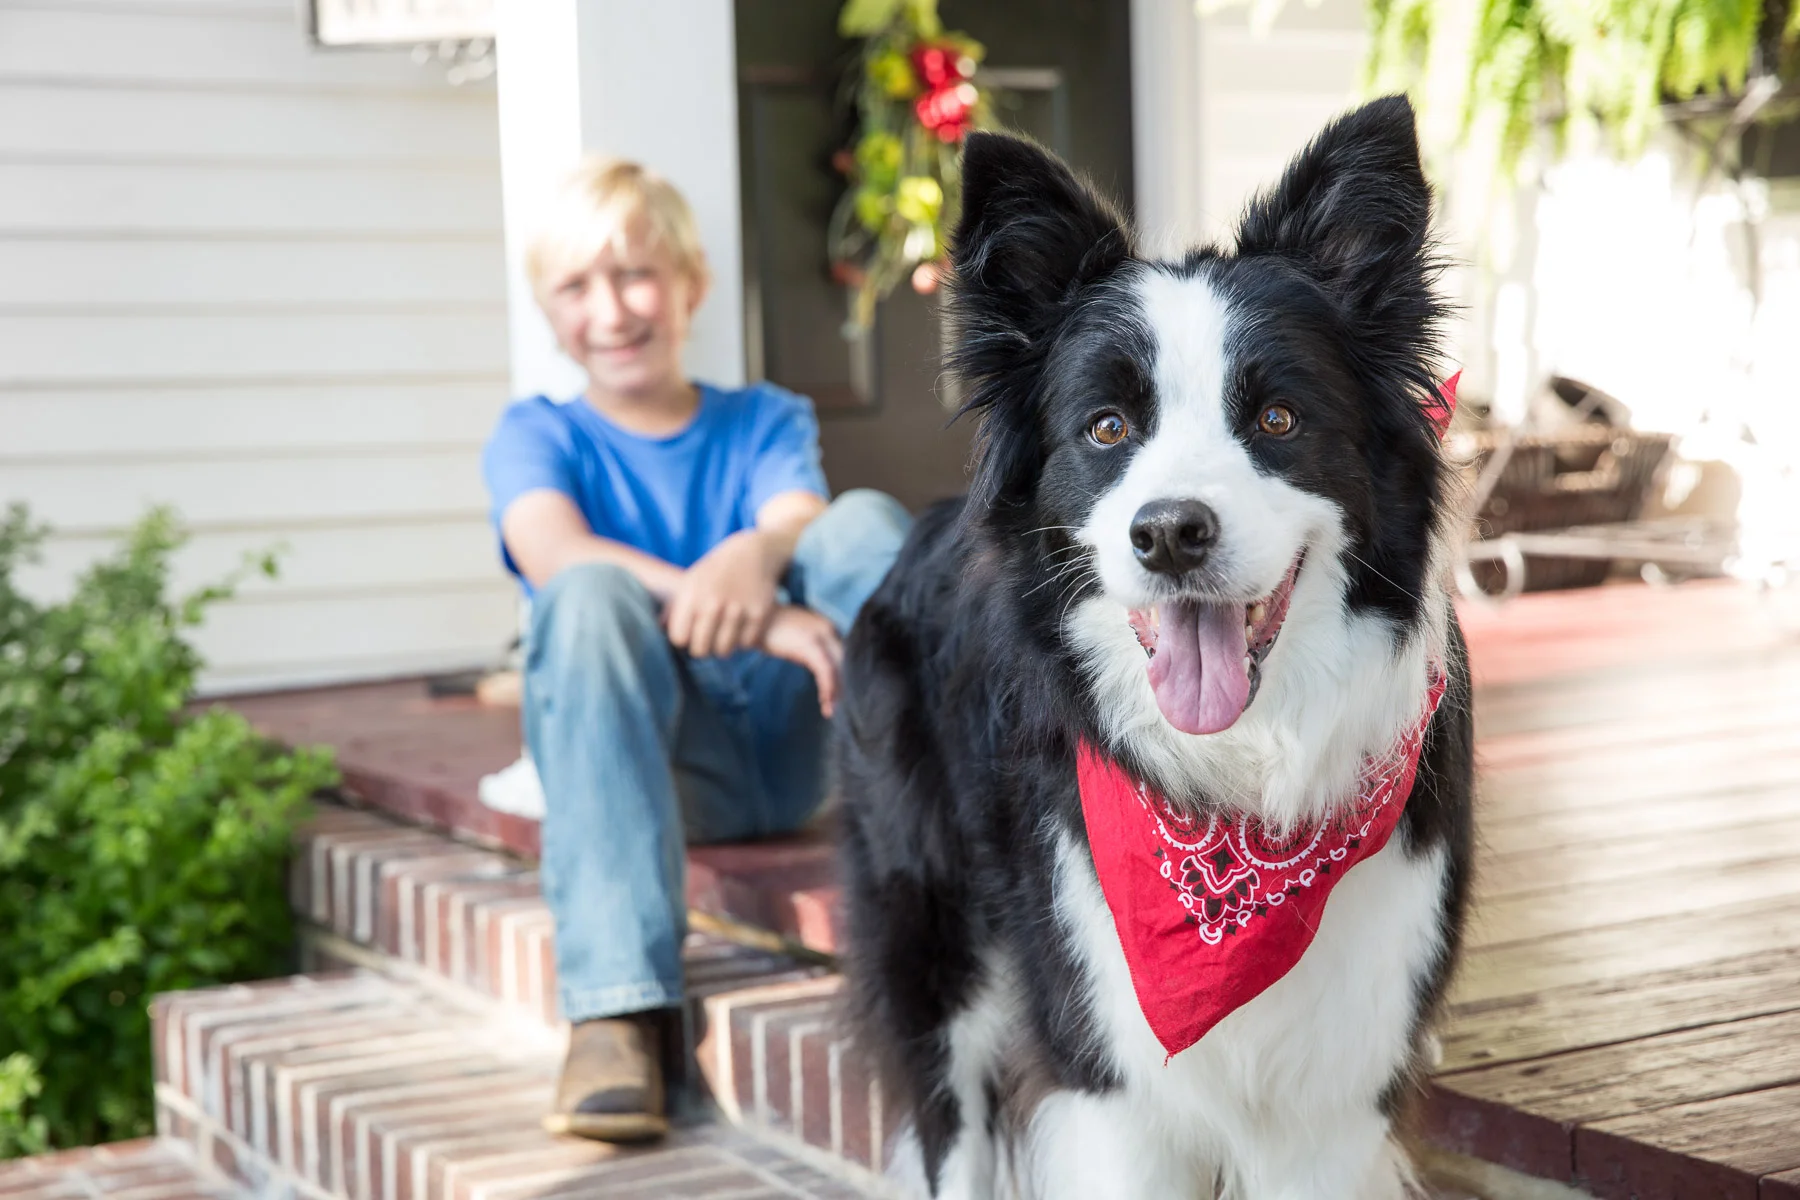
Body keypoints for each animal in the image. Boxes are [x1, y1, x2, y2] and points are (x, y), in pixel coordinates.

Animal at [828, 96, 1476, 1200]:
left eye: (1278, 417)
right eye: (1106, 427)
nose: (1171, 533)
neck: (1240, 805)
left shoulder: (1337, 1090)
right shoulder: (1112, 1082)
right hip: (932, 945)